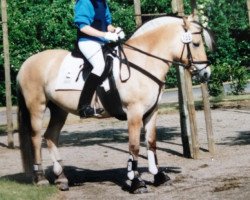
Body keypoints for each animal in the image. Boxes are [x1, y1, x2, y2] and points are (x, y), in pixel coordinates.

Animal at [16, 15, 214, 194]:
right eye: (196, 44)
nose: (206, 73)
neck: (143, 62)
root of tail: (27, 63)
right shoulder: (134, 113)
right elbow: (134, 147)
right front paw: (136, 182)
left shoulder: (151, 112)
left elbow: (151, 142)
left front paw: (158, 176)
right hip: (37, 107)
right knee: (36, 138)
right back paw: (41, 178)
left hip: (59, 110)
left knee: (50, 137)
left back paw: (62, 178)